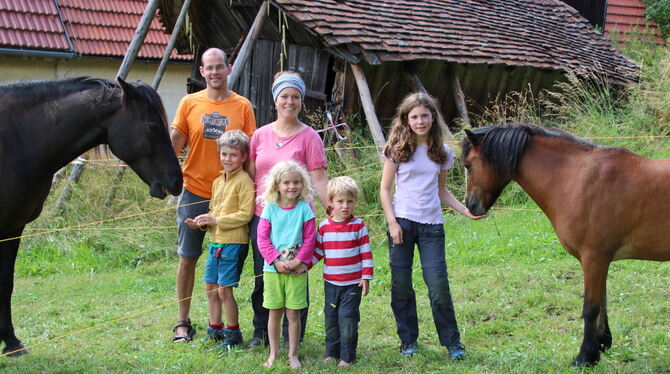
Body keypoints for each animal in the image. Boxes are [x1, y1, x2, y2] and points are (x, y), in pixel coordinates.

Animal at [0, 76, 184, 356]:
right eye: (153, 126)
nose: (177, 181)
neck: (19, 139)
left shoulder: (13, 228)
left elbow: (7, 284)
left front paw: (11, 341)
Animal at [462, 122, 670, 366]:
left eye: (468, 165)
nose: (471, 206)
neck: (578, 179)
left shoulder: (594, 258)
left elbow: (591, 308)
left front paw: (585, 356)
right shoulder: (601, 260)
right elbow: (603, 302)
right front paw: (600, 345)